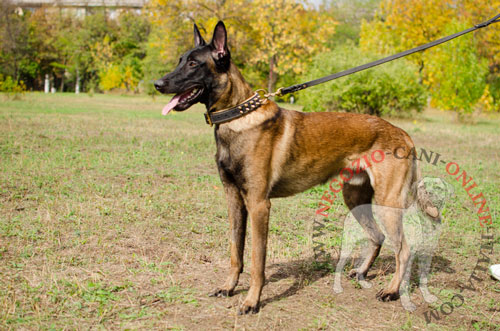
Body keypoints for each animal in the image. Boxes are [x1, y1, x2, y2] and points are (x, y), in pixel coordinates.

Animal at [155, 21, 438, 316]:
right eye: (180, 61)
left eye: (193, 64)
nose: (157, 84)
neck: (238, 117)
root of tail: (403, 134)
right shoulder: (234, 199)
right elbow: (235, 252)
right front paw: (229, 287)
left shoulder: (259, 204)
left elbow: (256, 261)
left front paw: (252, 301)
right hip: (355, 198)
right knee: (377, 237)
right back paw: (361, 272)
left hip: (387, 203)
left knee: (404, 248)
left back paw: (392, 291)